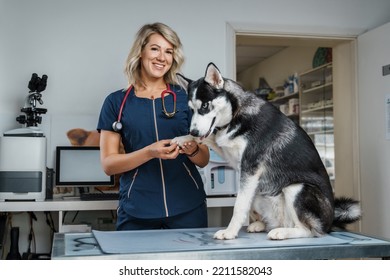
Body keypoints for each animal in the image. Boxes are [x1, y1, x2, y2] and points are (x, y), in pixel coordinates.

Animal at [172, 63, 362, 241]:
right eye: (191, 109)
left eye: (205, 105)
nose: (194, 130)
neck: (236, 113)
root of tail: (331, 220)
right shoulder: (231, 153)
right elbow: (210, 138)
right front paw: (181, 139)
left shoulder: (249, 168)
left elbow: (239, 206)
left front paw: (230, 232)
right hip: (259, 189)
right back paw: (261, 225)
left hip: (296, 188)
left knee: (309, 230)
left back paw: (282, 232)